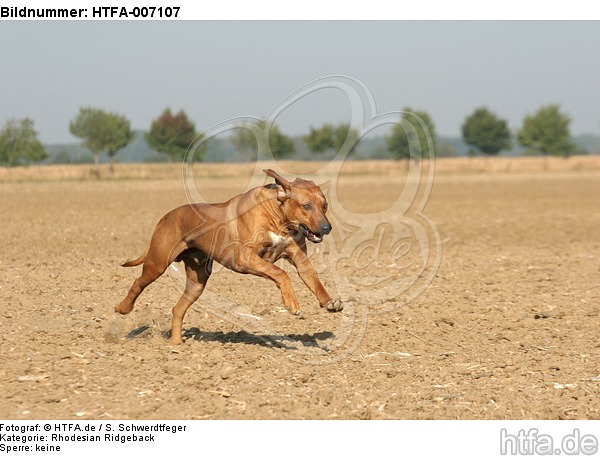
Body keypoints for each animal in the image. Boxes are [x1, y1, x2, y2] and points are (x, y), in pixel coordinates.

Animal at [115, 169, 344, 344]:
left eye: (325, 205)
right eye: (307, 206)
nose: (327, 228)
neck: (277, 216)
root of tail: (165, 216)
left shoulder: (298, 256)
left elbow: (313, 279)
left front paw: (329, 301)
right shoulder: (245, 258)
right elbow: (280, 273)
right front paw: (291, 303)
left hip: (197, 282)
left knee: (177, 309)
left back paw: (176, 344)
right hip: (157, 262)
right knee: (138, 283)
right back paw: (123, 308)